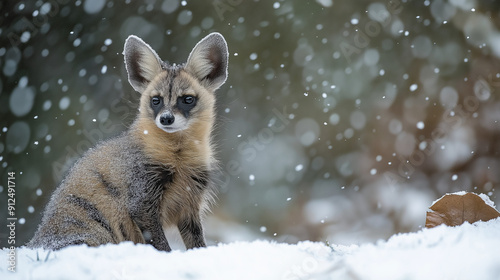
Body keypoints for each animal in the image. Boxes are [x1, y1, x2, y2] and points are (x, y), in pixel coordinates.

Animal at [29, 32, 229, 252]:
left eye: (187, 99)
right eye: (156, 100)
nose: (166, 119)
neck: (179, 160)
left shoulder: (190, 204)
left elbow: (198, 244)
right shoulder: (142, 200)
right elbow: (162, 246)